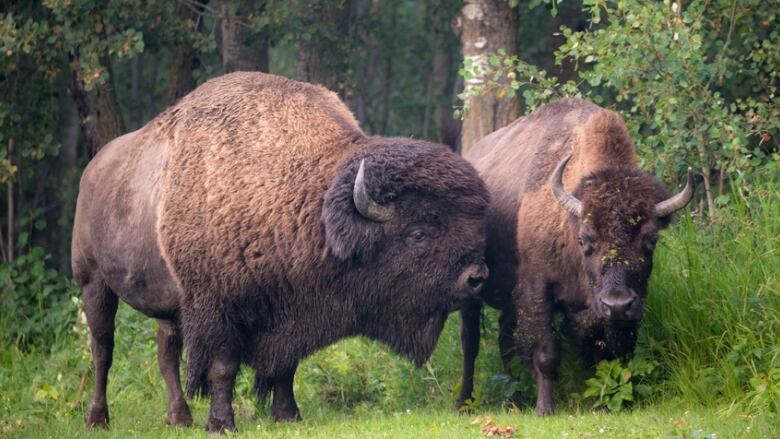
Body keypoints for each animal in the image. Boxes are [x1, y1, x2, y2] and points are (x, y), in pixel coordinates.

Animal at [73, 72, 488, 434]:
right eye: (418, 233)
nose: (476, 277)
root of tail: (93, 169)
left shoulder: (288, 308)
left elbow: (285, 366)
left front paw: (287, 415)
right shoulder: (219, 308)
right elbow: (223, 367)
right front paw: (222, 424)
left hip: (168, 305)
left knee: (166, 351)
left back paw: (179, 418)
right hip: (93, 281)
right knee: (102, 348)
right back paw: (97, 419)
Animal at [458, 99, 696, 416]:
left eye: (651, 240)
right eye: (585, 239)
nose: (617, 304)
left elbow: (601, 351)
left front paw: (603, 403)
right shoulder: (537, 290)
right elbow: (546, 352)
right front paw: (545, 408)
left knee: (505, 341)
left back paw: (514, 400)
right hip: (469, 292)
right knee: (470, 343)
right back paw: (463, 403)